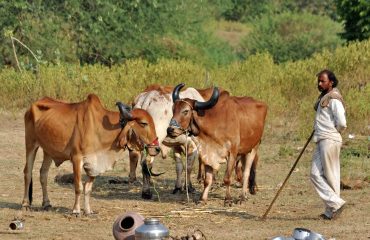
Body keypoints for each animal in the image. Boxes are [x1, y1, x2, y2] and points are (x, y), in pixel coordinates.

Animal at [22, 93, 160, 214]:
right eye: (143, 123)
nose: (157, 149)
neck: (98, 128)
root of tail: (32, 106)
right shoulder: (77, 158)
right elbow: (78, 187)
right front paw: (76, 210)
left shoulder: (94, 163)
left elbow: (88, 188)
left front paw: (88, 211)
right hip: (31, 144)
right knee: (27, 172)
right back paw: (25, 204)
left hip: (48, 151)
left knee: (43, 174)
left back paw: (46, 203)